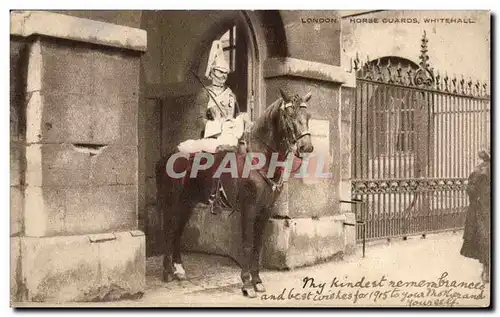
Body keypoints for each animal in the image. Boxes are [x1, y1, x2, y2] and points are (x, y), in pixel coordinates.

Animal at [154, 88, 314, 296]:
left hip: (187, 204)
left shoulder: (265, 210)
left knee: (177, 232)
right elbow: (247, 244)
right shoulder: (249, 209)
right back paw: (167, 272)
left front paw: (257, 280)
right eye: (288, 115)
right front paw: (246, 283)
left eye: (307, 115)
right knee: (169, 231)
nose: (306, 146)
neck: (260, 157)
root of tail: (167, 155)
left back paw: (179, 269)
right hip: (173, 202)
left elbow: (257, 246)